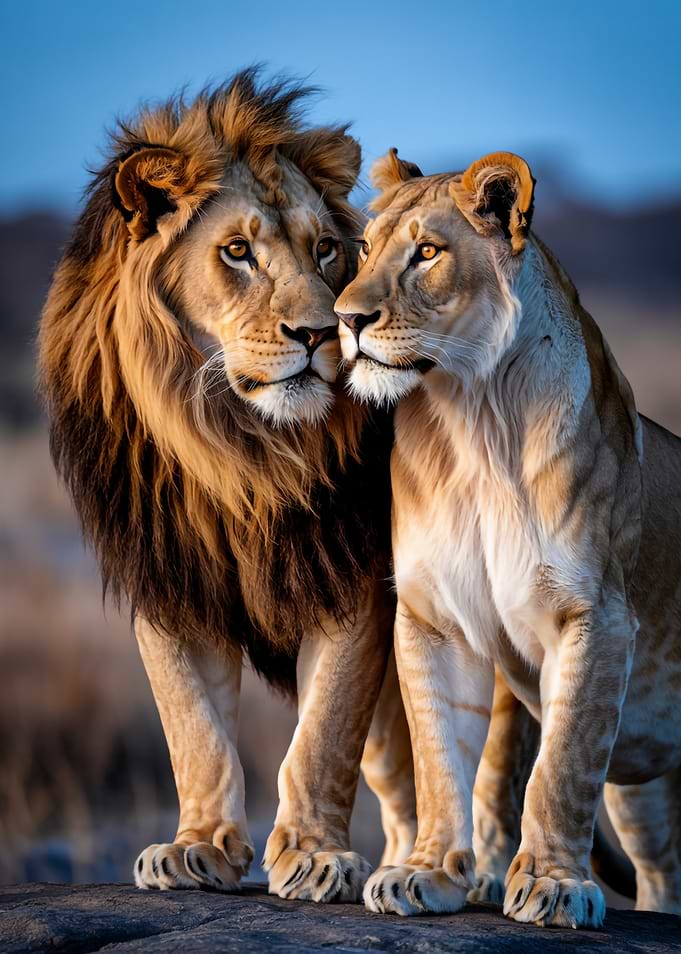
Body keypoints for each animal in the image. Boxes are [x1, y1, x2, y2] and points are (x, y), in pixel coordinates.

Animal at [38, 69, 419, 902]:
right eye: (237, 252)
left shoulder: (353, 572)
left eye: (325, 250)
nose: (322, 333)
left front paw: (312, 853)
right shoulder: (168, 578)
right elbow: (194, 728)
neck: (238, 451)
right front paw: (197, 846)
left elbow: (323, 731)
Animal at [334, 148, 681, 926]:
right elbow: (440, 761)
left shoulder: (596, 617)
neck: (474, 423)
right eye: (364, 250)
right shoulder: (433, 619)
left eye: (427, 253)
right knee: (662, 870)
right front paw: (425, 874)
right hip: (643, 783)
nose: (343, 319)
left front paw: (552, 885)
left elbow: (560, 768)